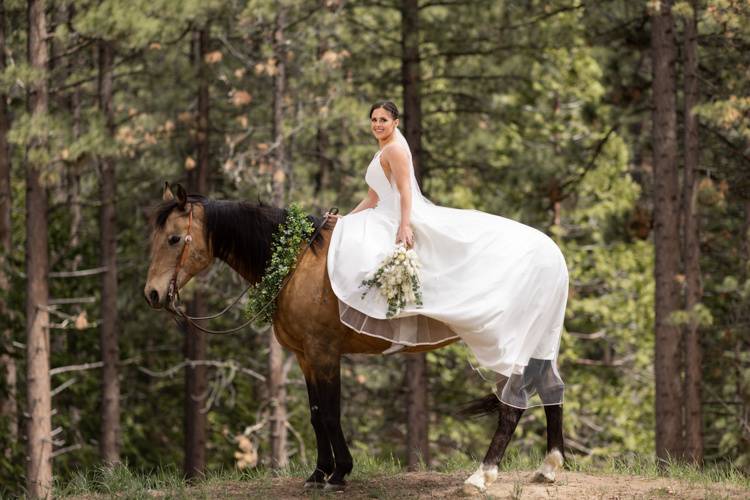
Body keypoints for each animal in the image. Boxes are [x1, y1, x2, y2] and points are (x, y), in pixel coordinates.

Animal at [144, 183, 564, 492]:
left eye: (174, 239)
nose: (152, 294)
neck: (296, 261)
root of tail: (552, 254)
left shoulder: (325, 354)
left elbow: (331, 412)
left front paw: (340, 472)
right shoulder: (305, 356)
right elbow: (316, 413)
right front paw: (319, 473)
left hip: (507, 346)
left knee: (512, 406)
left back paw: (482, 475)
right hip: (538, 346)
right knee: (550, 391)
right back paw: (549, 467)